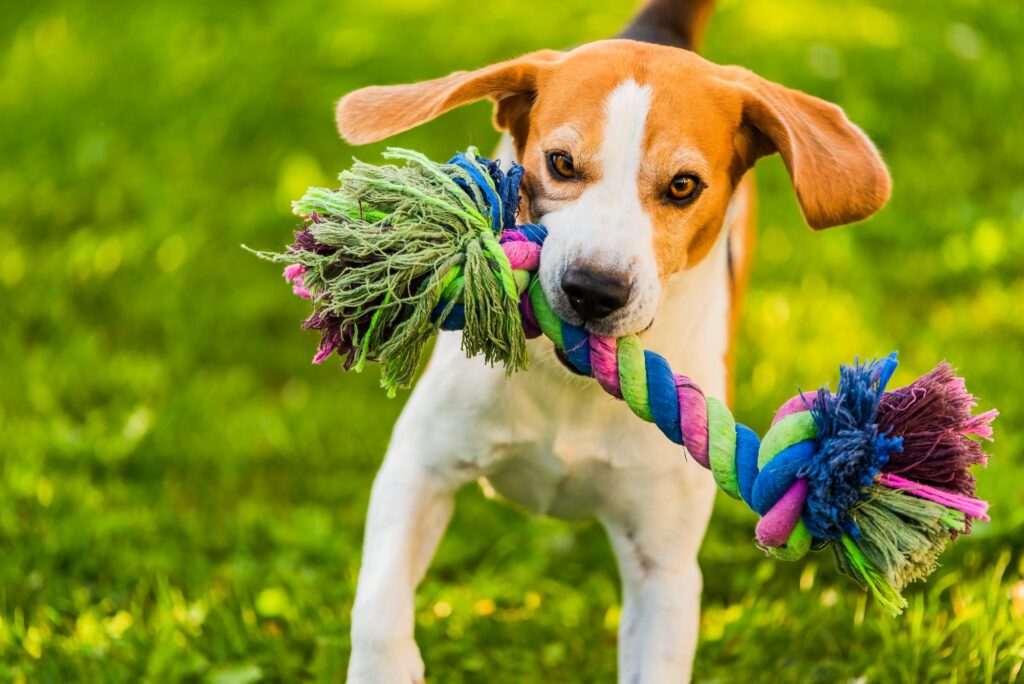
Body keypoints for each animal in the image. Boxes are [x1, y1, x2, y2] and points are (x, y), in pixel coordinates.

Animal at [333, 2, 888, 679]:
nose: (594, 290)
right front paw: (384, 665)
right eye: (562, 164)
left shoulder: (663, 566)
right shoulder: (420, 466)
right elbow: (378, 607)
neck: (571, 384)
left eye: (683, 185)